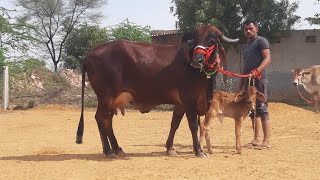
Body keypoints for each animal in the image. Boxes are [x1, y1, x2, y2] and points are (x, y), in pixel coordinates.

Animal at [76, 25, 239, 158]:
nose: (196, 60)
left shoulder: (181, 104)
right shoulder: (189, 100)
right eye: (196, 39)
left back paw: (117, 148)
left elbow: (174, 124)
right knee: (101, 118)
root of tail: (90, 54)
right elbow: (193, 125)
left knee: (108, 120)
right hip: (106, 97)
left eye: (212, 39)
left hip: (112, 100)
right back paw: (108, 151)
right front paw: (199, 151)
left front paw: (170, 148)